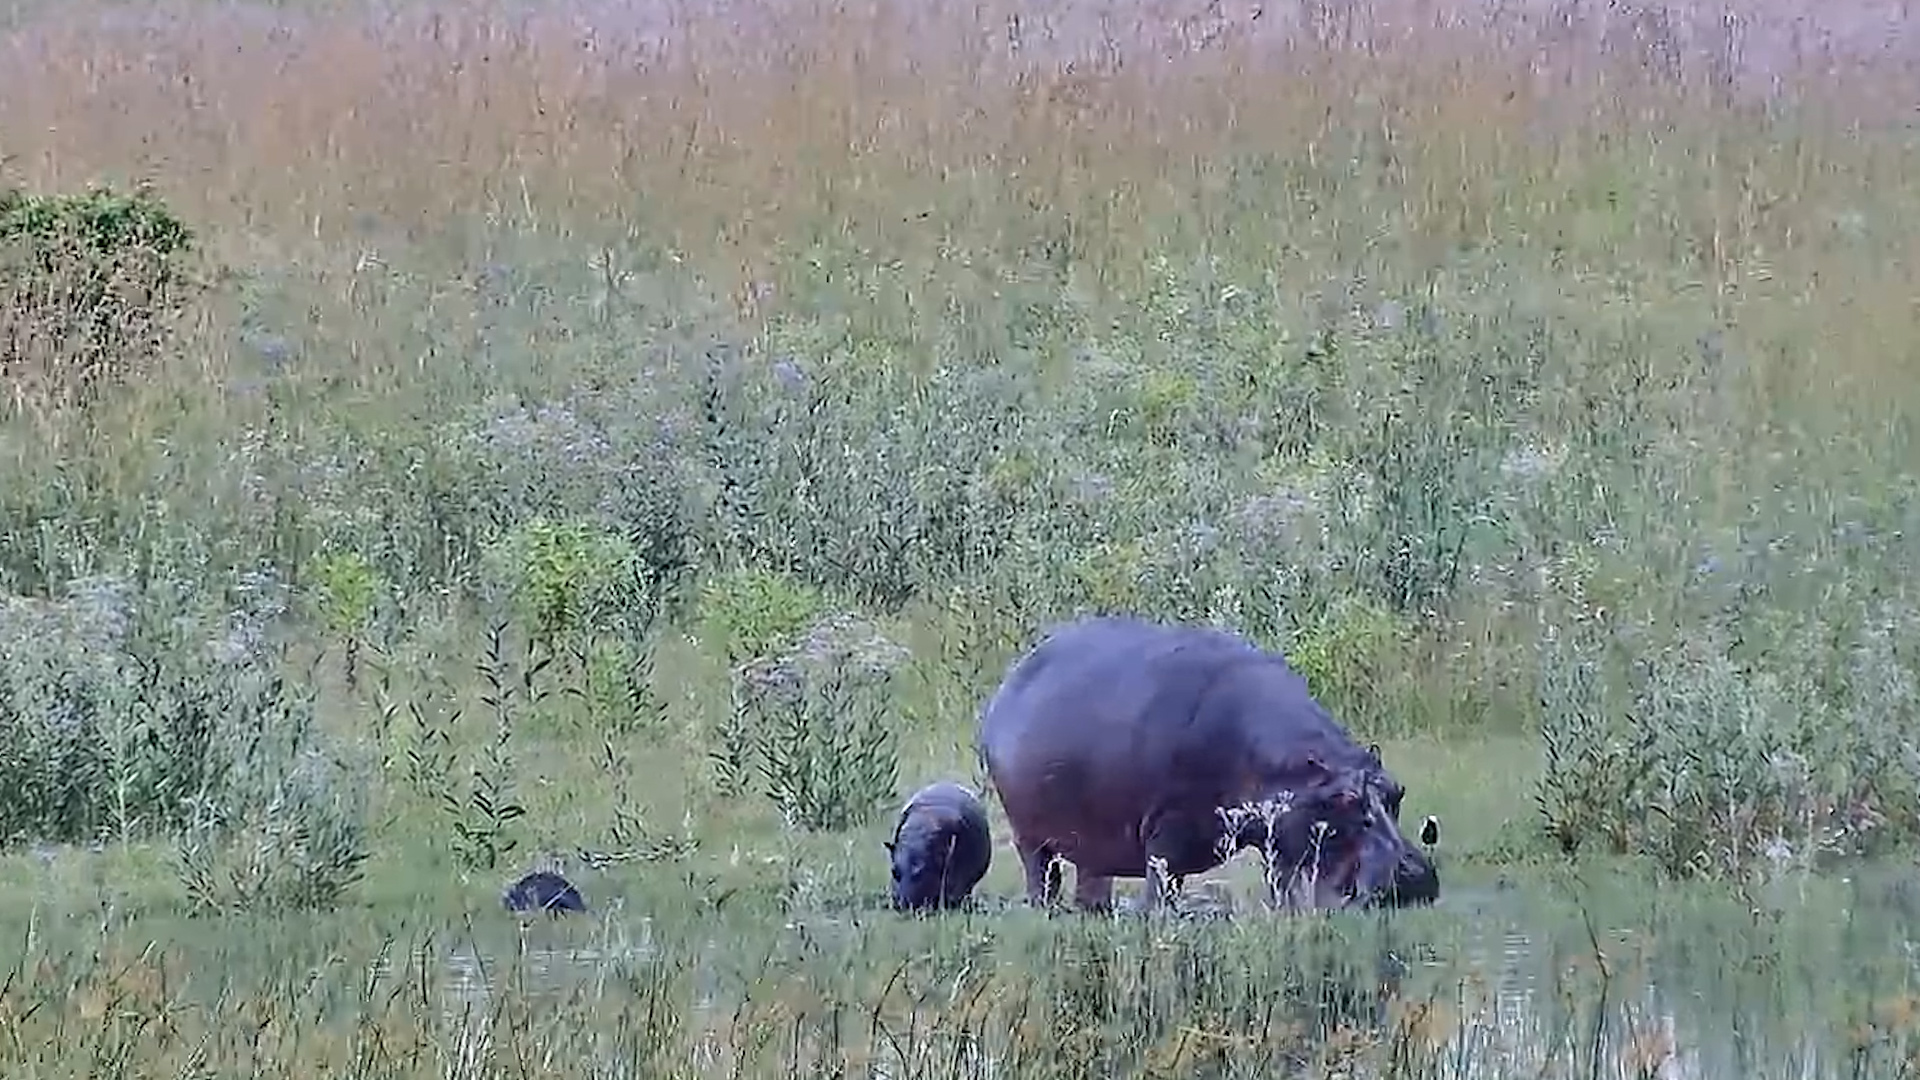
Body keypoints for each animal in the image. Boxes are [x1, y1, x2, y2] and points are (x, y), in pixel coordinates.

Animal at [975, 615, 1440, 914]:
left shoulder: (1278, 837)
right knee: (1041, 874)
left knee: (1091, 880)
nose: (1414, 877)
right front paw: (1157, 917)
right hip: (1030, 834)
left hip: (1090, 839)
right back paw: (1045, 909)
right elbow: (1162, 882)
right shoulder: (1165, 830)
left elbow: (1283, 880)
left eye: (1396, 791)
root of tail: (1008, 682)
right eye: (1343, 799)